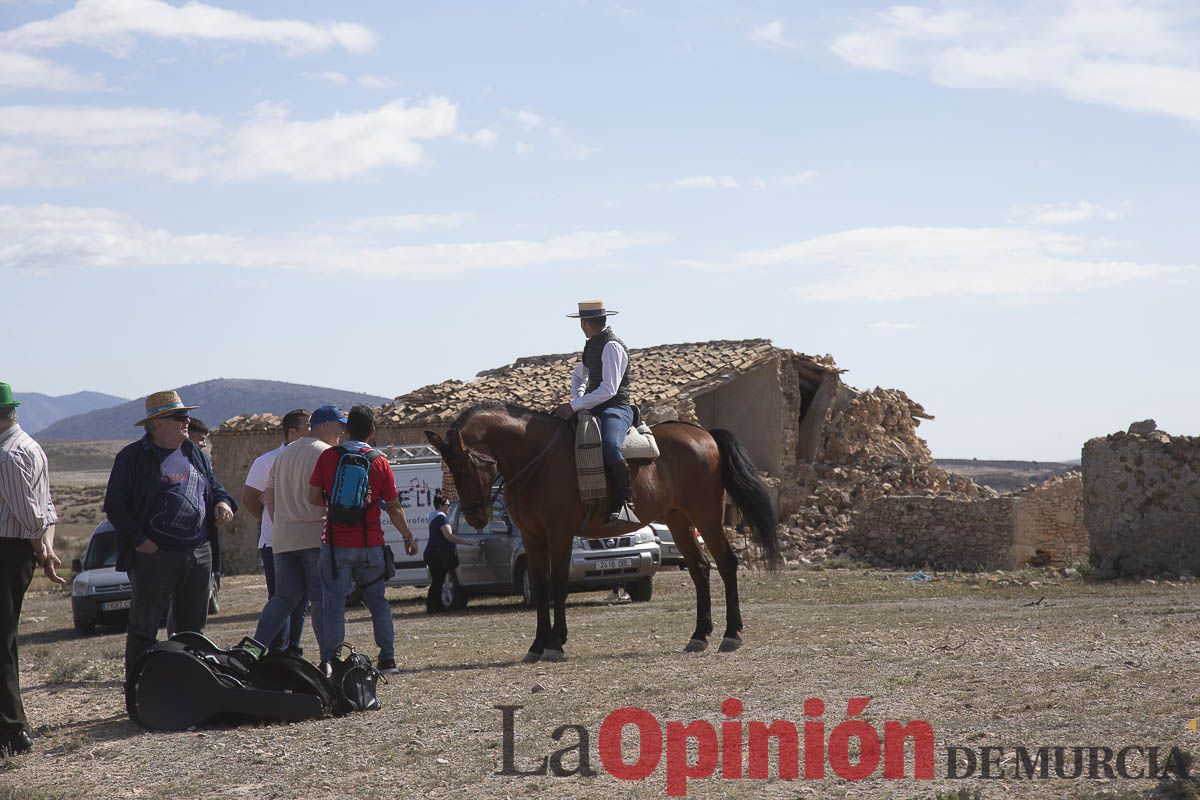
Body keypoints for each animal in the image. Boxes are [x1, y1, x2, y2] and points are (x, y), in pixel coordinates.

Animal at [427, 400, 782, 662]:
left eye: (466, 467)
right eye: (449, 471)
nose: (476, 517)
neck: (537, 458)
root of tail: (704, 434)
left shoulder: (559, 533)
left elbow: (558, 584)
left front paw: (556, 644)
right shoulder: (532, 537)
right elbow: (540, 586)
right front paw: (537, 645)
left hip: (705, 516)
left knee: (726, 563)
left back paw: (731, 635)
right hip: (679, 519)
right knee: (699, 568)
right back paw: (699, 636)